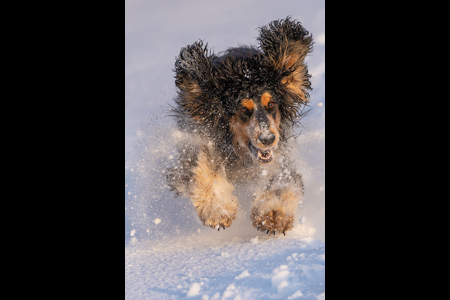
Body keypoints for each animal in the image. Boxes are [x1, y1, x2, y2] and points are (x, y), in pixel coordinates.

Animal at [165, 17, 312, 236]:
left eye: (271, 104)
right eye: (243, 109)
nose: (268, 139)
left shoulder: (277, 159)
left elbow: (282, 183)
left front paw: (273, 215)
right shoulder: (200, 144)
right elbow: (205, 173)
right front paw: (218, 210)